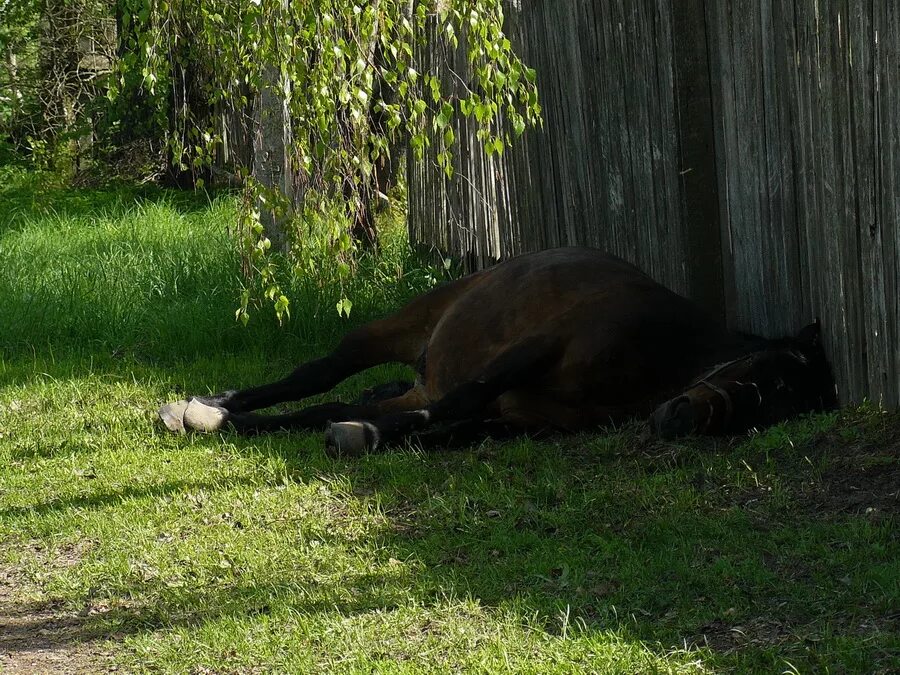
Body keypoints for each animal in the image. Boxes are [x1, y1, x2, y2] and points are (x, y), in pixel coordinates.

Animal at [160, 248, 836, 454]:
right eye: (760, 374)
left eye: (771, 414)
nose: (683, 418)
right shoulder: (533, 353)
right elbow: (457, 405)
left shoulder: (522, 421)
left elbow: (446, 428)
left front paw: (367, 436)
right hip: (388, 330)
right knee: (314, 378)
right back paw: (213, 408)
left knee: (334, 403)